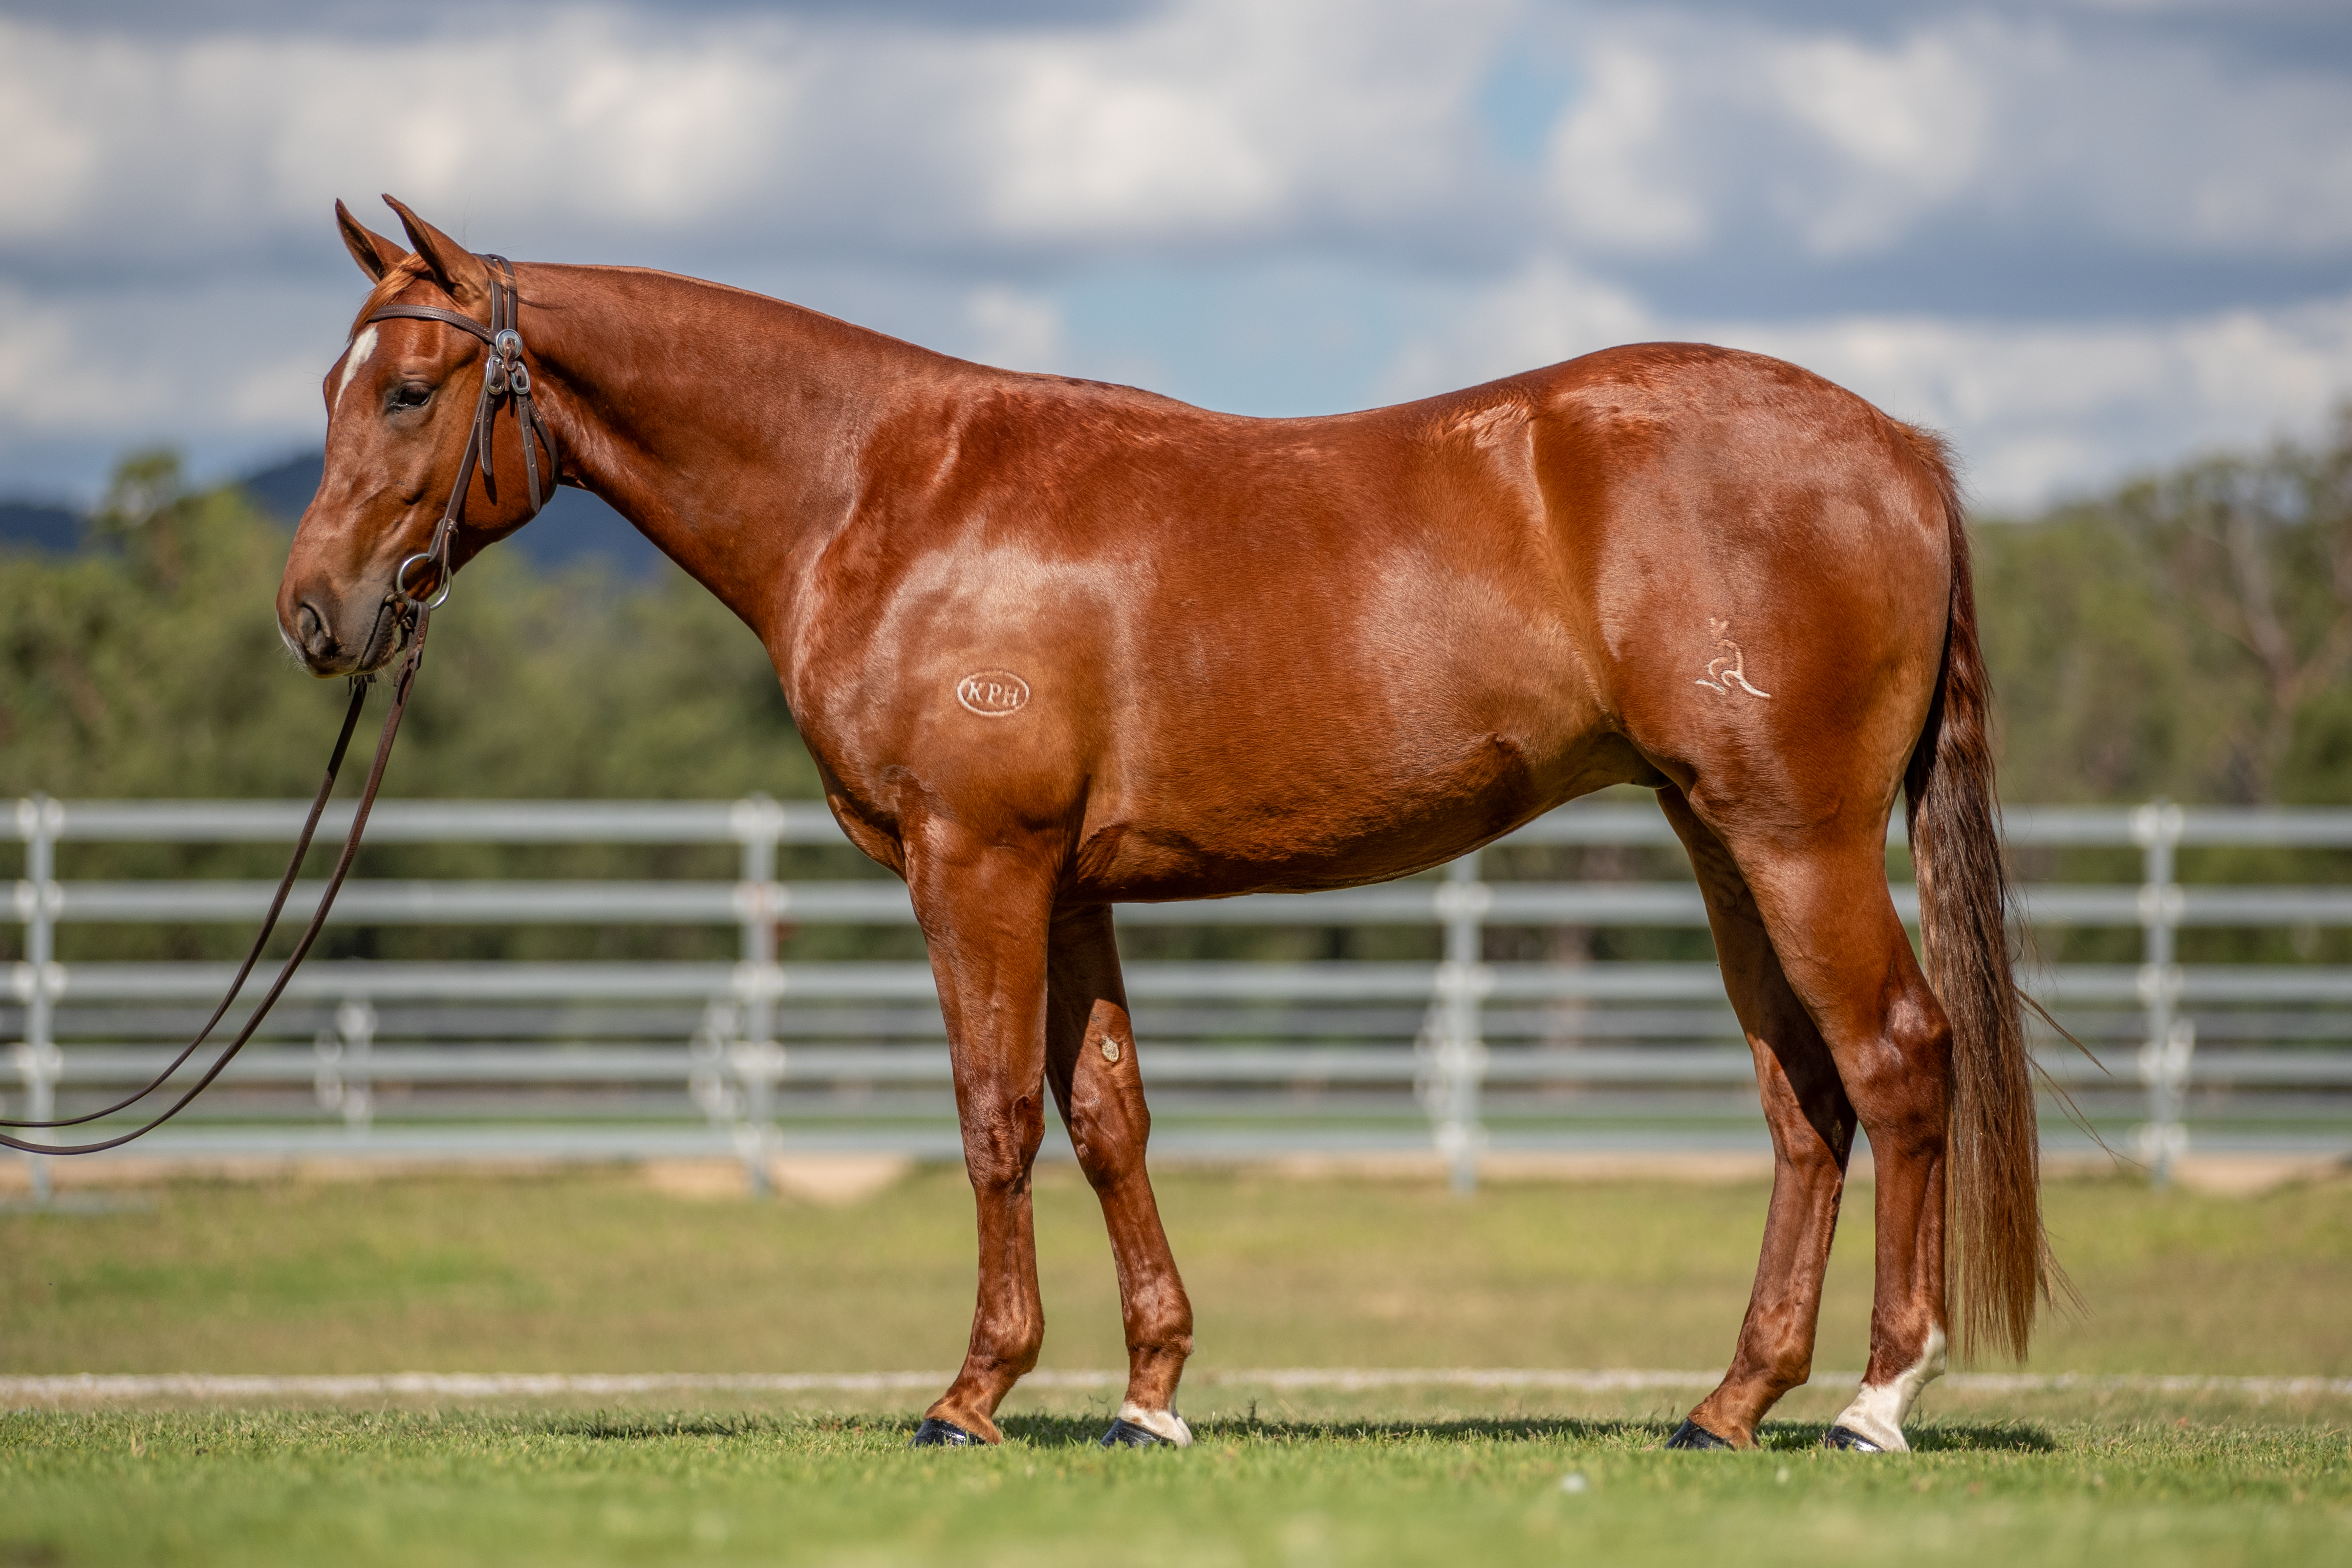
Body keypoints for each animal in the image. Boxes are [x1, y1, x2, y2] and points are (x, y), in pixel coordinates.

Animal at [279, 195, 2056, 1455]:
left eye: (415, 389)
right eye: (335, 386)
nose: (314, 614)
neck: (883, 491)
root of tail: (1898, 449)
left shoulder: (976, 863)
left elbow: (995, 1110)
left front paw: (974, 1392)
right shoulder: (1066, 887)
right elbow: (1106, 1115)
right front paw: (1149, 1391)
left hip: (1794, 837)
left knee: (1897, 1059)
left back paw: (1875, 1399)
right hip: (1717, 839)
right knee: (1803, 1099)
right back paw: (1730, 1400)